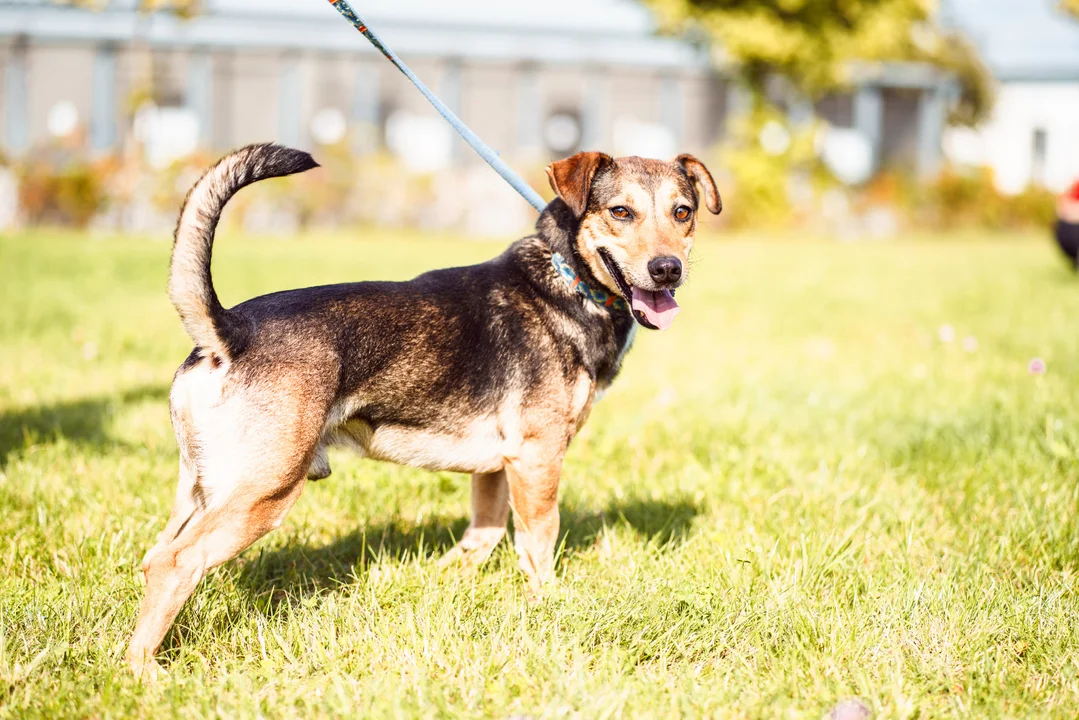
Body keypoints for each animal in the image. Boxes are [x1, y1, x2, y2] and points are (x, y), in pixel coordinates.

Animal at [124, 142, 716, 677]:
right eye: (621, 212)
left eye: (682, 212)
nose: (667, 270)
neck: (568, 280)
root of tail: (229, 332)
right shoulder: (538, 457)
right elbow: (538, 538)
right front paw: (547, 604)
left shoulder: (497, 466)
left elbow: (484, 534)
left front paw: (446, 581)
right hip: (264, 491)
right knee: (177, 563)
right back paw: (142, 671)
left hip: (201, 488)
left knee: (156, 557)